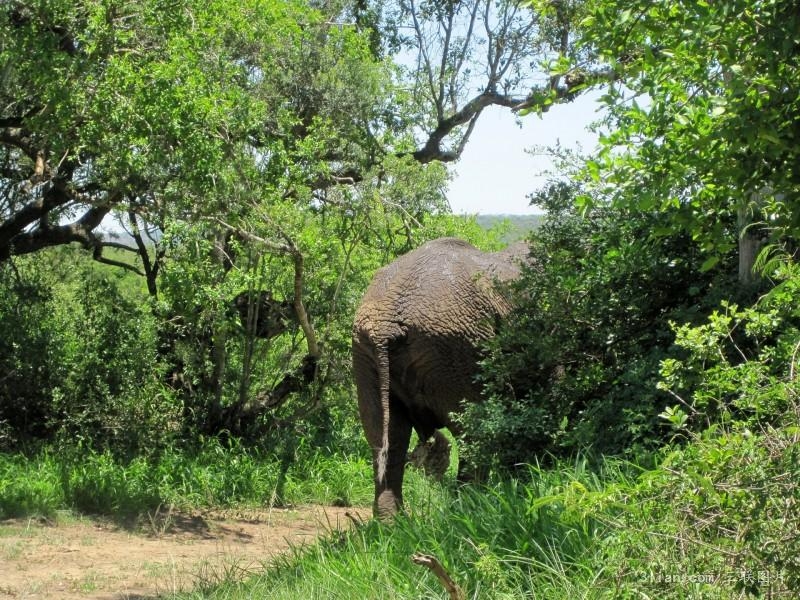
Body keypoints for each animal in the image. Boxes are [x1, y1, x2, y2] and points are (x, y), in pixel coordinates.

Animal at [352, 237, 528, 516]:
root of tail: (387, 324)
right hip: (456, 345)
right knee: (474, 430)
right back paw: (473, 508)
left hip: (366, 354)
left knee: (386, 435)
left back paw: (393, 523)